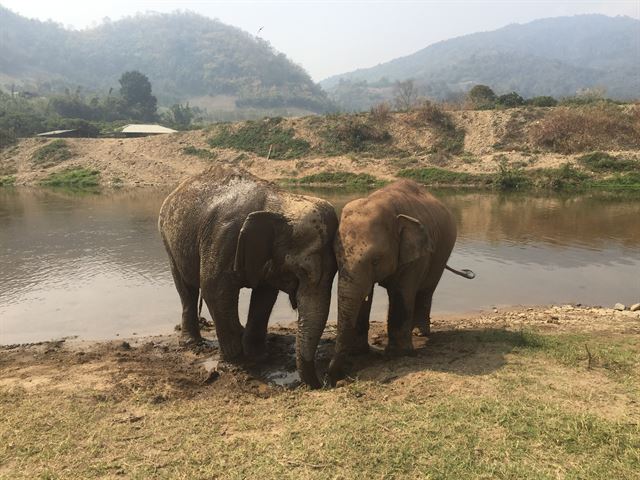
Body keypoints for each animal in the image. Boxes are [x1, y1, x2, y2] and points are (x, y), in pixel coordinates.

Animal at [159, 167, 340, 388]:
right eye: (303, 271)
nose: (325, 381)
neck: (281, 201)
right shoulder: (222, 238)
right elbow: (214, 291)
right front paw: (235, 363)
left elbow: (265, 297)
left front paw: (258, 356)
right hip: (168, 239)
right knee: (187, 290)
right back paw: (191, 343)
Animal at [328, 178, 472, 384]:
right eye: (336, 258)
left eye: (375, 260)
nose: (332, 379)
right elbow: (365, 295)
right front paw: (358, 352)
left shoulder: (416, 256)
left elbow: (401, 293)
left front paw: (397, 355)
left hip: (443, 250)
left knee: (426, 290)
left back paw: (420, 333)